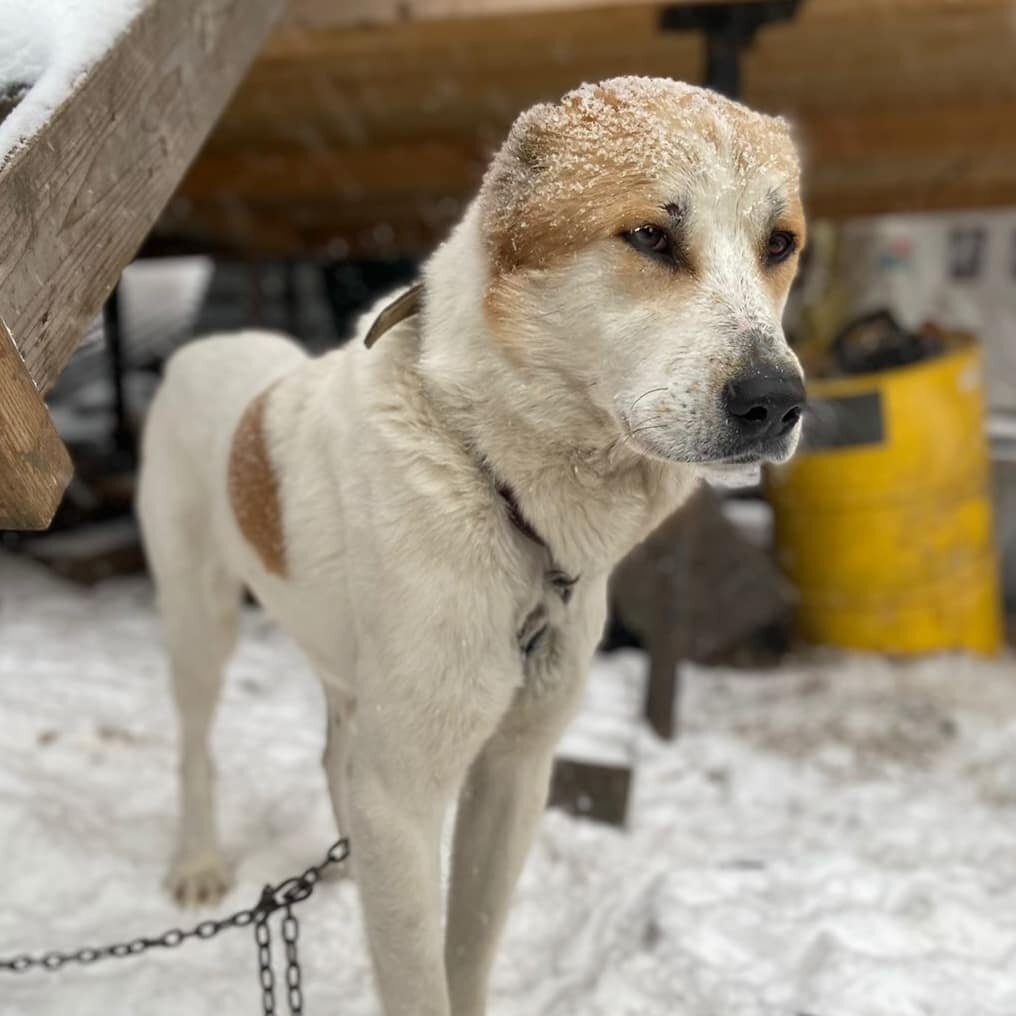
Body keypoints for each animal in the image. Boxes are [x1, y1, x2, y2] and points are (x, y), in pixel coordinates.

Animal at [139, 75, 808, 1011]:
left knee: (334, 753)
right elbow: (421, 975)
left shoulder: (514, 772)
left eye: (779, 244)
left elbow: (469, 947)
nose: (778, 402)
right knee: (195, 747)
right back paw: (198, 862)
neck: (493, 478)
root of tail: (207, 347)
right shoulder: (407, 796)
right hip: (200, 622)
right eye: (650, 235)